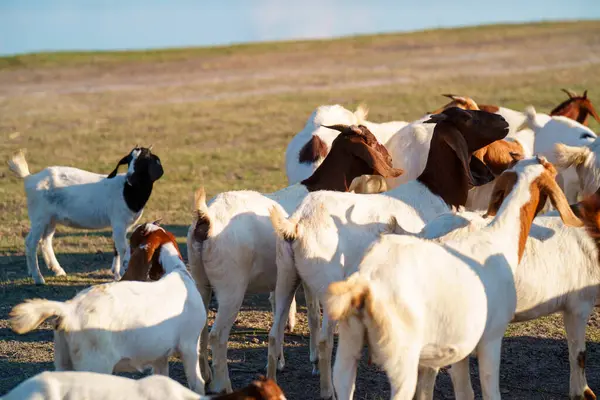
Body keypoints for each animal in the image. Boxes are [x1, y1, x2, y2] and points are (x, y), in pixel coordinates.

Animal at [5, 148, 164, 284]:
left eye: (144, 160)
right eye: (129, 160)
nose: (130, 177)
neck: (128, 191)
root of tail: (29, 178)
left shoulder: (121, 225)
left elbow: (116, 248)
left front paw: (116, 273)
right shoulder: (118, 221)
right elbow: (123, 248)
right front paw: (122, 274)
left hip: (50, 219)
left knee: (46, 241)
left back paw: (57, 270)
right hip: (39, 216)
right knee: (31, 242)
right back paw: (38, 278)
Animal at [8, 223, 206, 396]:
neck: (176, 271)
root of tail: (69, 309)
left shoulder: (159, 357)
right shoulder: (189, 345)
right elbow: (197, 383)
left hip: (64, 363)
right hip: (94, 367)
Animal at [188, 125, 404, 394]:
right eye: (372, 141)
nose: (391, 160)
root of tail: (206, 219)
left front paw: (280, 361)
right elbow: (313, 315)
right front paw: (313, 361)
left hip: (201, 279)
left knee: (201, 327)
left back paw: (205, 378)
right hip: (231, 287)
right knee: (218, 335)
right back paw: (224, 386)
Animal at [268, 107, 506, 400]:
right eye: (467, 118)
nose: (504, 122)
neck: (434, 191)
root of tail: (298, 222)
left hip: (286, 277)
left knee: (274, 335)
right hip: (325, 284)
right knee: (324, 340)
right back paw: (327, 391)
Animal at [326, 156, 584, 400]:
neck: (499, 238)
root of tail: (365, 285)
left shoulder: (462, 345)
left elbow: (464, 391)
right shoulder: (491, 338)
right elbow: (490, 391)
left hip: (349, 346)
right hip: (401, 357)